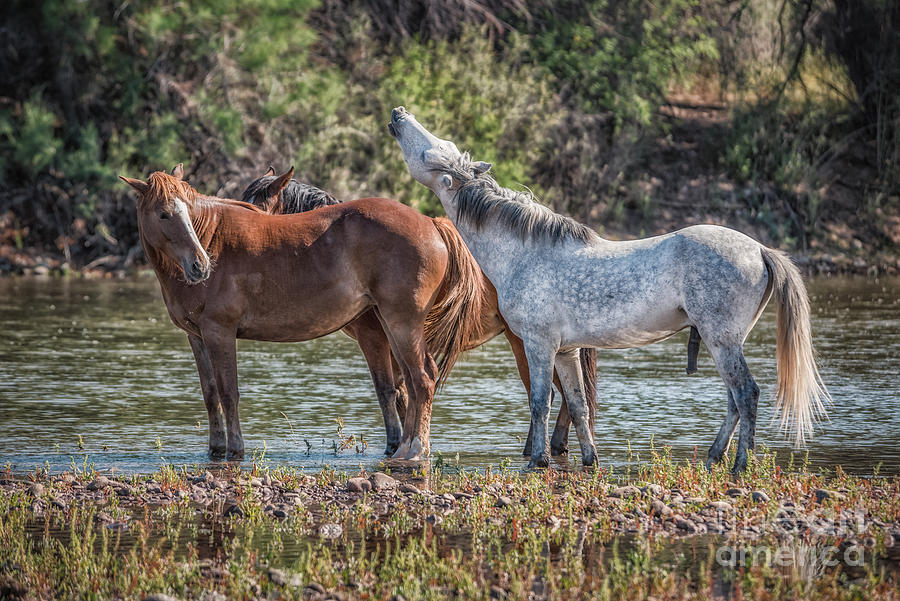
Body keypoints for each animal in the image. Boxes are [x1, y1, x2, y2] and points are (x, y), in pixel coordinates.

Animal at [121, 164, 486, 460]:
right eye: (164, 214)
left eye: (185, 210)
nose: (200, 265)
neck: (214, 239)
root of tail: (432, 223)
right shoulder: (196, 337)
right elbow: (211, 394)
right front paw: (215, 448)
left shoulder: (219, 333)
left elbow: (229, 392)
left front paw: (235, 450)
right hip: (393, 326)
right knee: (411, 381)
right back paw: (407, 447)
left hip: (402, 323)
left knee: (422, 378)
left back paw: (415, 451)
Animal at [239, 165, 596, 454]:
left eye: (257, 208)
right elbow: (403, 391)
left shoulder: (375, 337)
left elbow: (389, 389)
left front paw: (396, 443)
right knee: (567, 395)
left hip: (524, 341)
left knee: (550, 394)